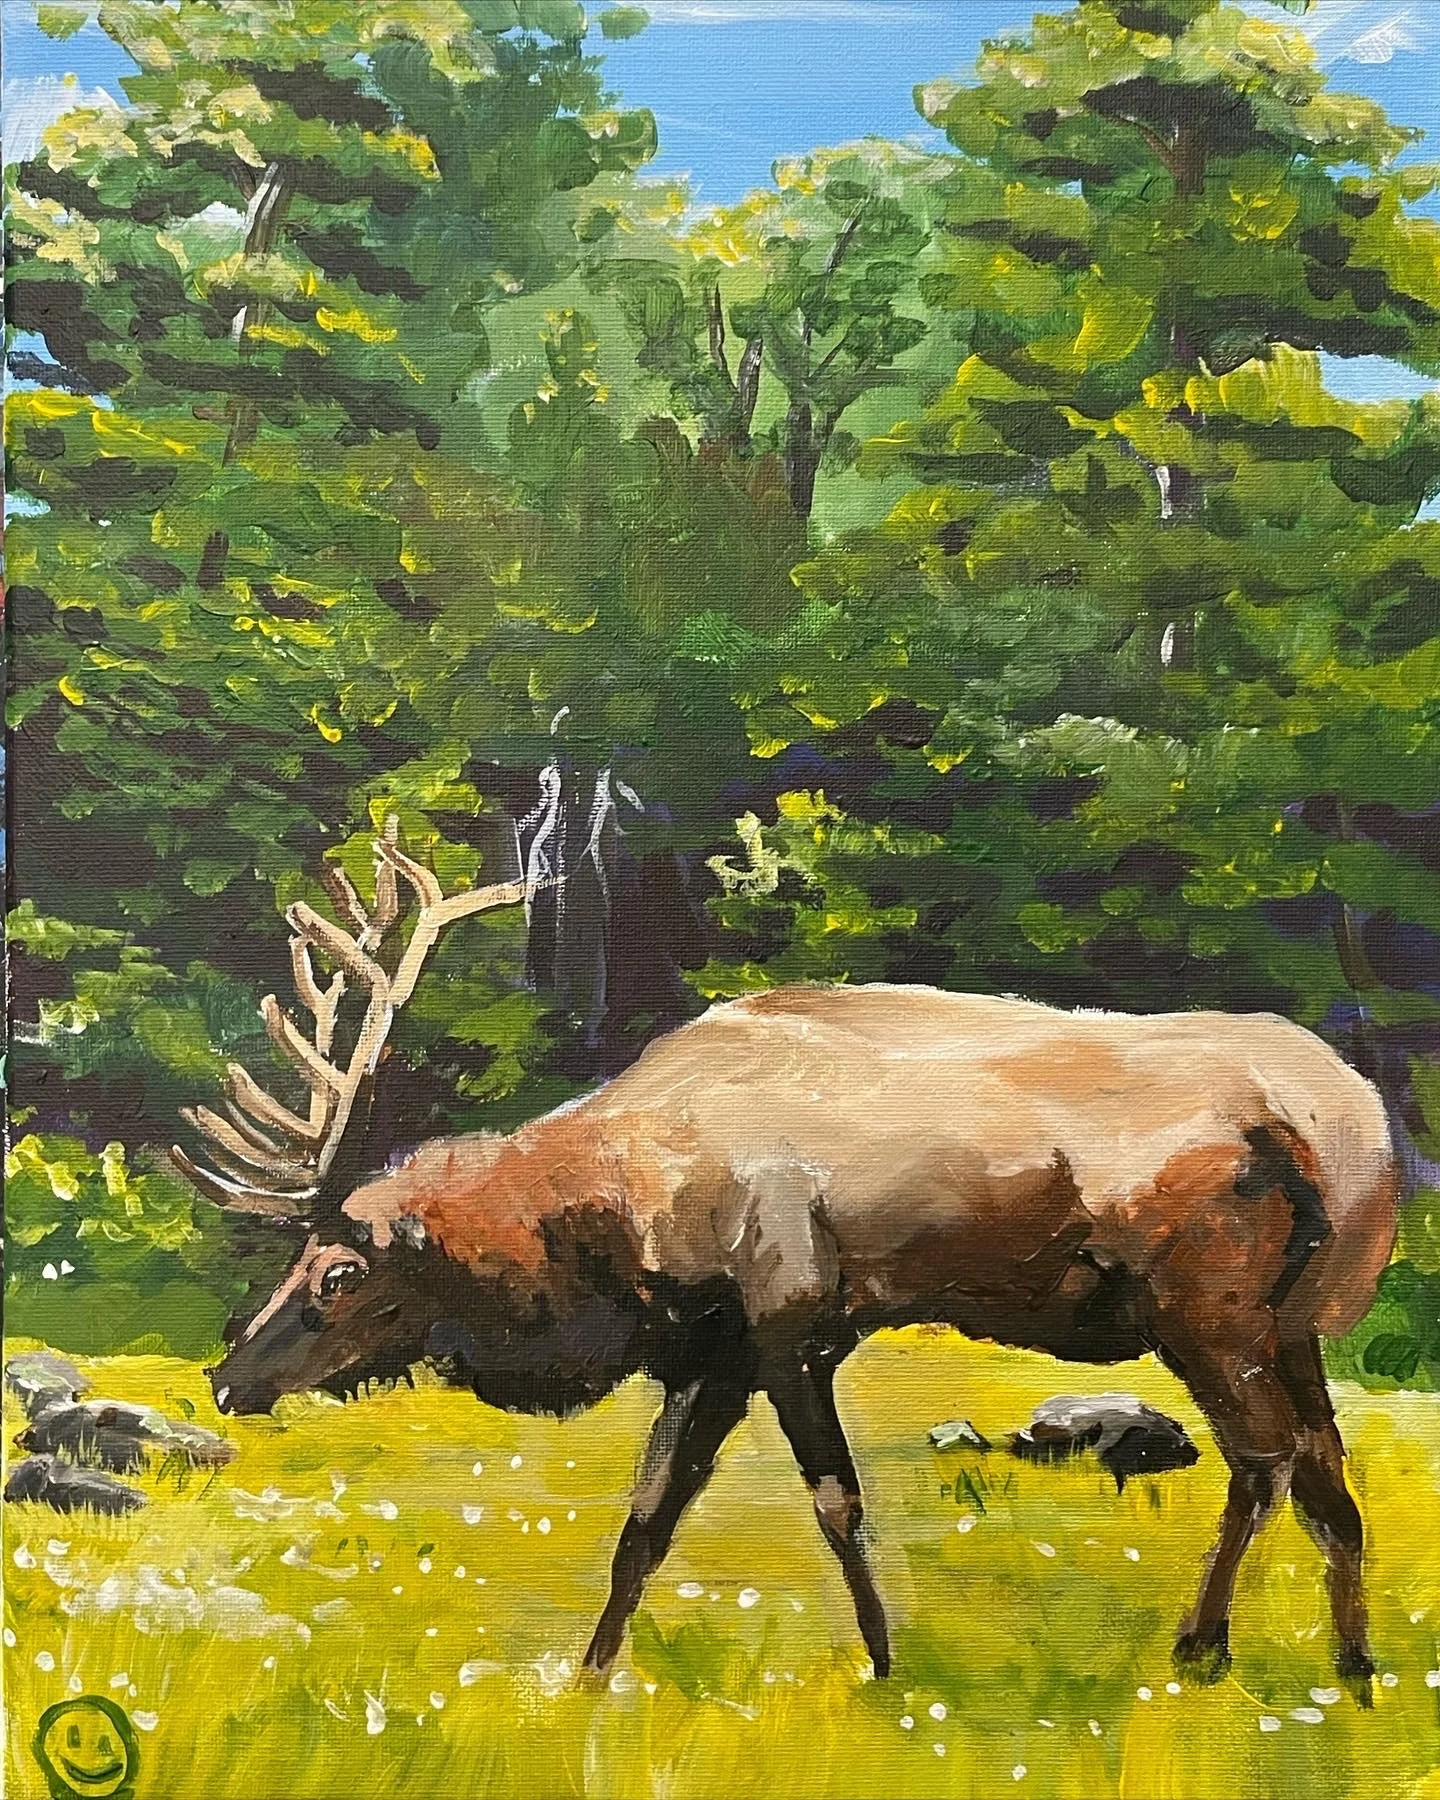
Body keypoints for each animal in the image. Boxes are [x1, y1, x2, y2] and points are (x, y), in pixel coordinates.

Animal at [177, 822, 1399, 1697]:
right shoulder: (708, 1350)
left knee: (1263, 1459)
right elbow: (645, 1524)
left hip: (1208, 1306)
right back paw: (1352, 1665)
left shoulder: (792, 1321)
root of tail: (1353, 1140)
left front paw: (884, 1666)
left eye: (340, 1273)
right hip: (1291, 1321)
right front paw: (588, 1676)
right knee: (1328, 1472)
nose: (228, 1376)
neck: (622, 1232)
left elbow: (835, 1503)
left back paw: (1203, 1647)